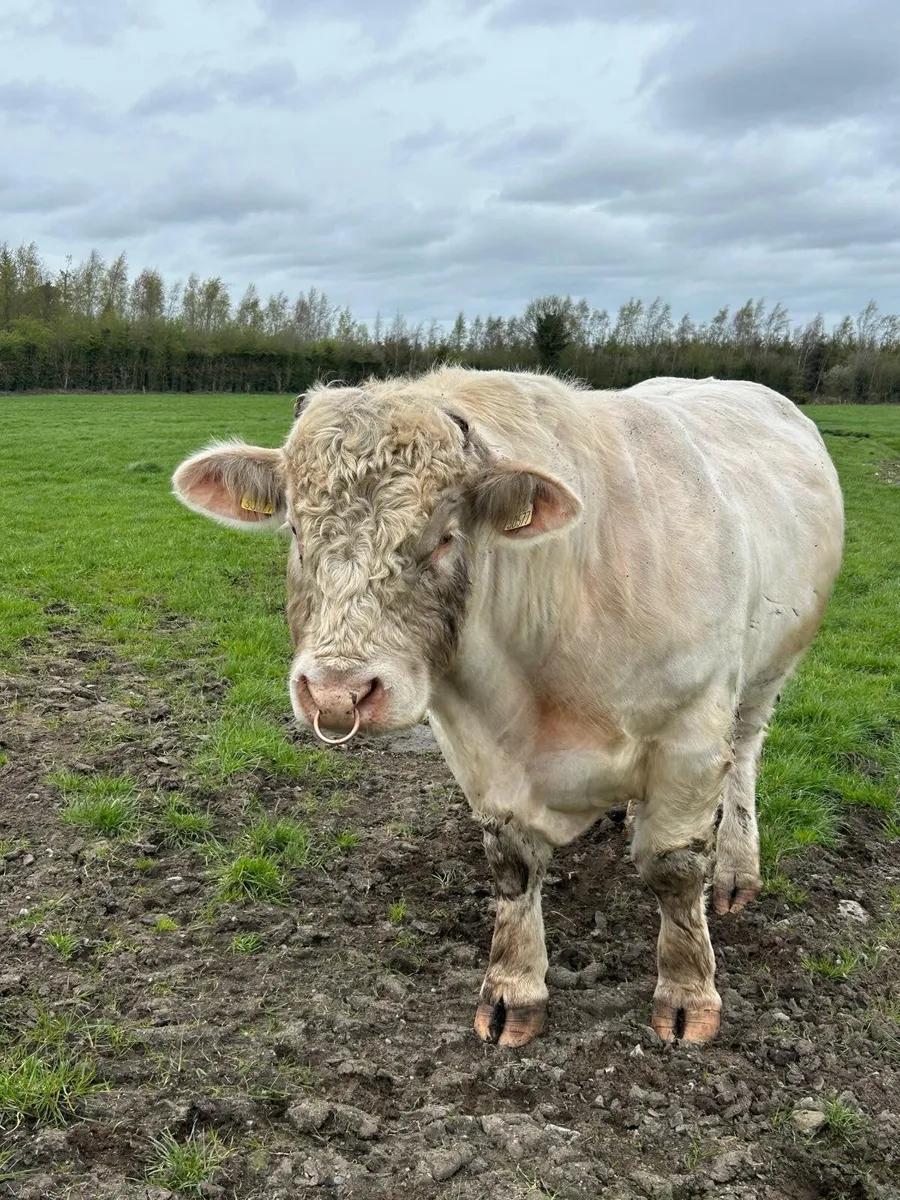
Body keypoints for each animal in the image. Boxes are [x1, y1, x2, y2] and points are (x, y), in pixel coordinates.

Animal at [172, 368, 844, 1048]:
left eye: (444, 538)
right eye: (295, 534)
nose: (338, 692)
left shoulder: (693, 733)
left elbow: (676, 868)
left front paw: (687, 992)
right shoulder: (479, 747)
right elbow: (513, 865)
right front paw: (513, 988)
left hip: (767, 674)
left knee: (745, 757)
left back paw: (734, 869)